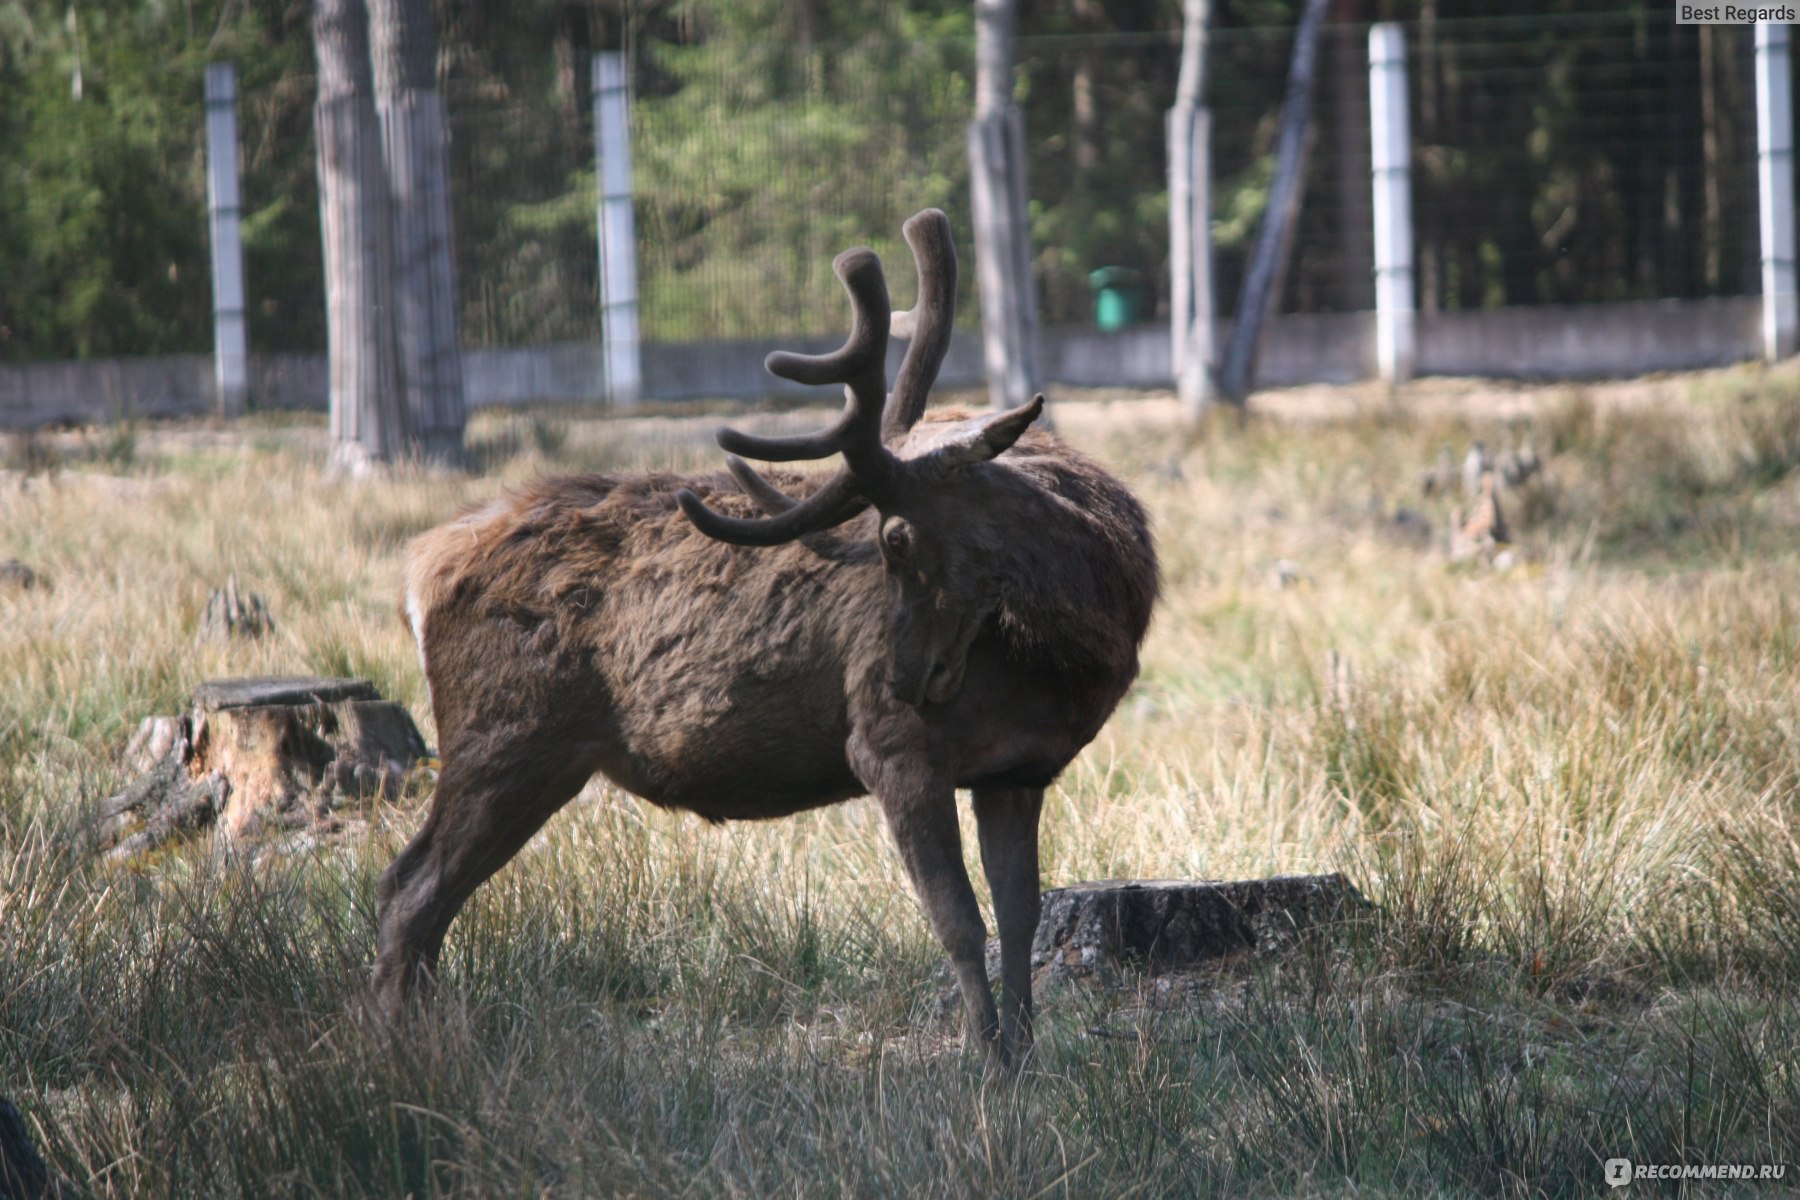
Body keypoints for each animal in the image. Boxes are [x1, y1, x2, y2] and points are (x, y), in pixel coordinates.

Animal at [378, 211, 1159, 1065]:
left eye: (897, 536)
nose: (904, 679)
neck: (1067, 659)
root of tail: (418, 568)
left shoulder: (1019, 770)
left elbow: (1020, 918)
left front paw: (1022, 1060)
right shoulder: (892, 751)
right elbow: (958, 921)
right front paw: (981, 1063)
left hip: (538, 755)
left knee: (420, 892)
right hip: (503, 733)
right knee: (408, 888)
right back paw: (397, 1047)